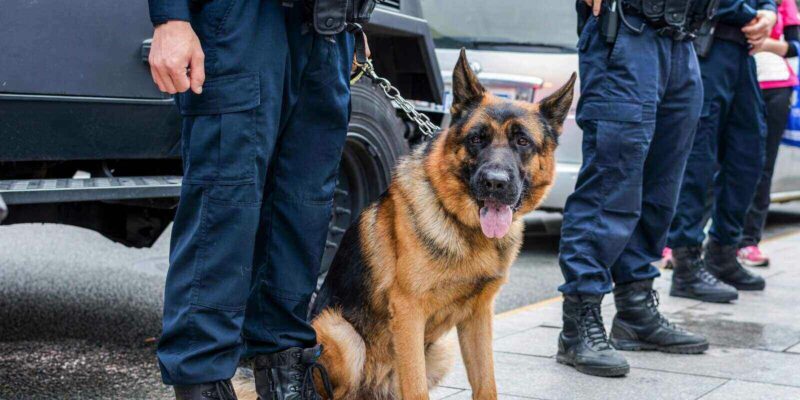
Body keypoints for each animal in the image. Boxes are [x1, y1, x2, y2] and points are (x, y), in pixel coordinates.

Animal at [238, 50, 576, 400]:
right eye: (477, 139)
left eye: (522, 141)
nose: (494, 183)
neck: (464, 228)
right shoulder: (409, 312)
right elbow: (416, 388)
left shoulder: (479, 317)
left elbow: (486, 385)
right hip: (342, 335)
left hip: (440, 351)